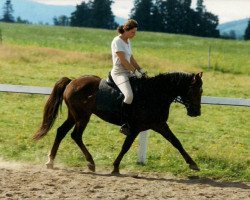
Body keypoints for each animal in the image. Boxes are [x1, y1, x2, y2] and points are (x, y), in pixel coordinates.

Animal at [32, 71, 203, 173]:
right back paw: (90, 162)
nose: (196, 113)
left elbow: (176, 142)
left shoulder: (159, 124)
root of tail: (72, 81)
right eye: (195, 90)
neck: (154, 94)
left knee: (61, 131)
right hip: (82, 116)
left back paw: (51, 162)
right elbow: (125, 147)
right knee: (76, 135)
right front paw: (115, 167)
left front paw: (193, 164)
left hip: (74, 116)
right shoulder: (136, 128)